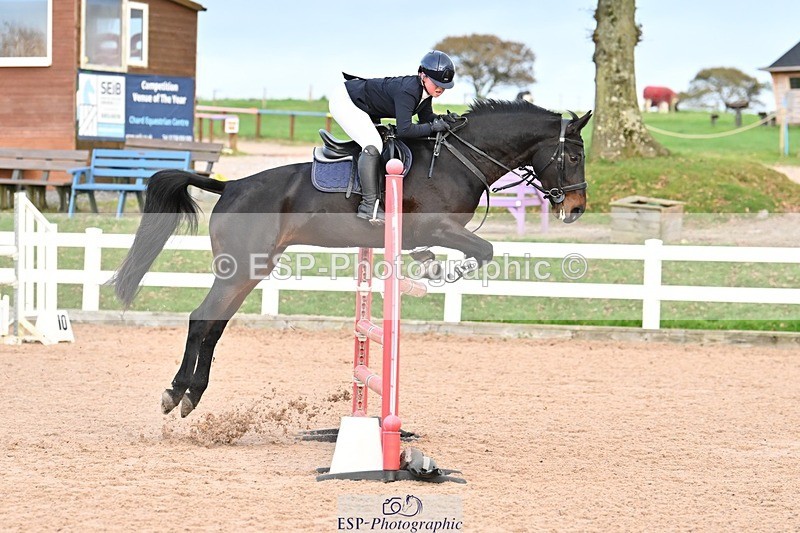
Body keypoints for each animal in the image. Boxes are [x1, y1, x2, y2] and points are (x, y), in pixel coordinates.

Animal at [113, 100, 592, 417]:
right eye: (572, 156)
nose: (576, 208)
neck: (458, 159)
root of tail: (230, 185)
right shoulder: (435, 227)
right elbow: (482, 251)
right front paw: (442, 273)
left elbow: (464, 252)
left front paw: (431, 267)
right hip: (240, 268)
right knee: (201, 319)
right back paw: (175, 392)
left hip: (249, 270)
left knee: (214, 326)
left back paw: (191, 396)